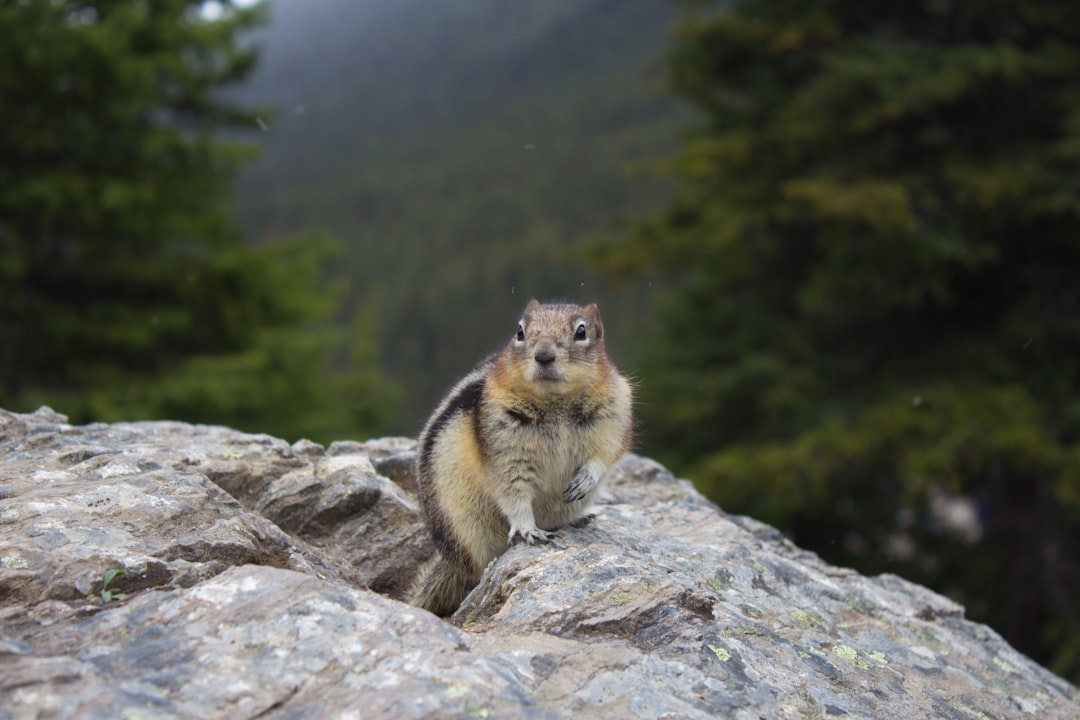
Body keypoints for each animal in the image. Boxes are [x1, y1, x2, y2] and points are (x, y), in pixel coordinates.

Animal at [408, 302, 635, 617]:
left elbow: (603, 456)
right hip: (467, 529)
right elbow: (513, 491)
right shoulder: (504, 447)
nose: (544, 355)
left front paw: (585, 480)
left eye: (581, 331)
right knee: (478, 567)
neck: (556, 400)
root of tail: (451, 559)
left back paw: (579, 518)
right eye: (519, 331)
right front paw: (528, 529)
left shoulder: (614, 415)